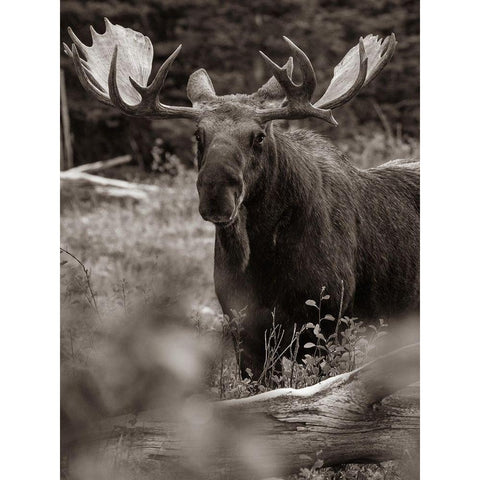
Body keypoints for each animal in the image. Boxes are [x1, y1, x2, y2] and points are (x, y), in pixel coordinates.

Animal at [64, 18, 420, 378]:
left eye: (259, 136)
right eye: (198, 134)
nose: (216, 194)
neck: (264, 261)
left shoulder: (327, 319)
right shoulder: (241, 326)